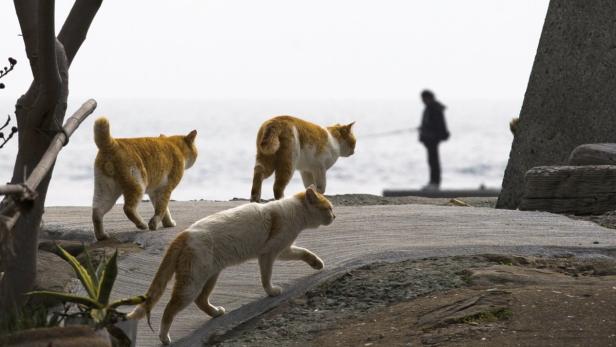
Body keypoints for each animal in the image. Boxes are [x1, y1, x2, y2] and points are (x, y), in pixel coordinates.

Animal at [127, 186, 334, 344]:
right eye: (329, 208)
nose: (335, 217)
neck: (294, 211)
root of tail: (183, 234)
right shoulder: (269, 253)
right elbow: (266, 277)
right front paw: (271, 291)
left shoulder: (284, 250)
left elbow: (304, 252)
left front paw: (317, 264)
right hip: (192, 283)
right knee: (170, 308)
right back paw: (164, 337)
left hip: (210, 275)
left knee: (200, 300)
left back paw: (215, 312)